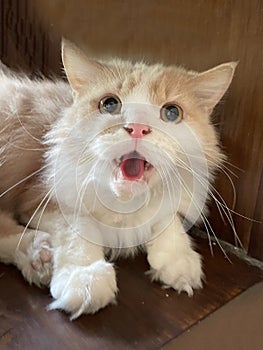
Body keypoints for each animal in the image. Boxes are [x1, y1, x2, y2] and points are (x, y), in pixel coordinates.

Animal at [0, 39, 237, 318]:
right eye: (110, 105)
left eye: (171, 113)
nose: (137, 128)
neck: (125, 204)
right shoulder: (41, 198)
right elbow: (79, 233)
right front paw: (86, 279)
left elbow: (168, 221)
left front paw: (177, 261)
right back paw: (39, 253)